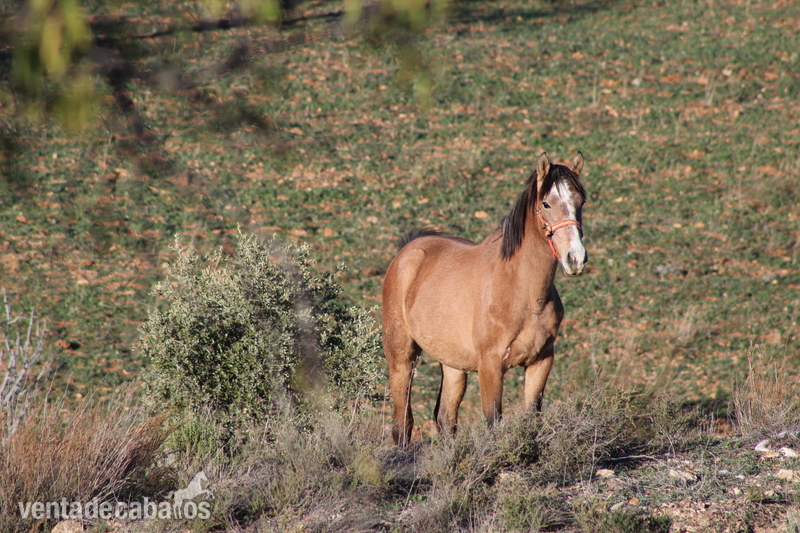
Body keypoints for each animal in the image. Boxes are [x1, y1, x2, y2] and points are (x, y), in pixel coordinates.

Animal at [382, 152, 588, 446]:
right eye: (546, 203)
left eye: (580, 202)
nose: (576, 258)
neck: (523, 294)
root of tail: (407, 251)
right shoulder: (490, 367)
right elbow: (493, 422)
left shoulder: (541, 361)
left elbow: (532, 420)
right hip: (401, 357)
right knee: (402, 424)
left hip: (453, 365)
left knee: (446, 419)